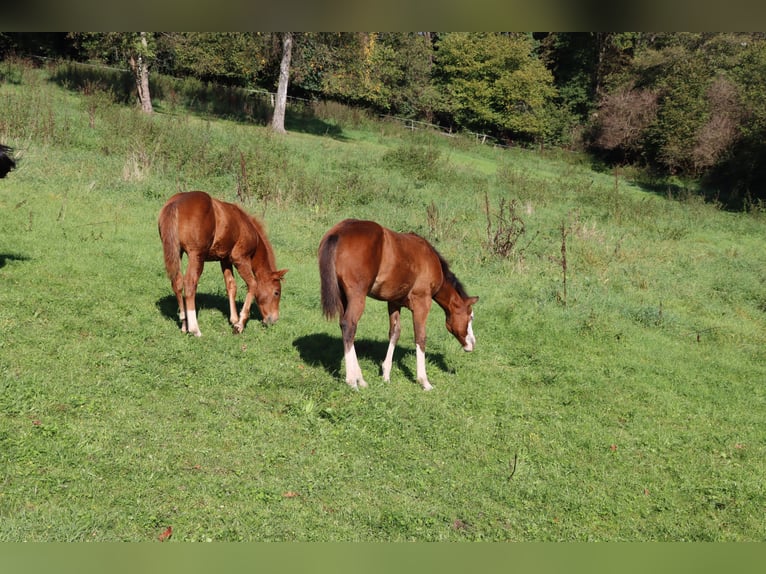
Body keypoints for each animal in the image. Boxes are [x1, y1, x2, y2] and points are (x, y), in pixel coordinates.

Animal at [158, 191, 287, 337]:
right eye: (277, 292)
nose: (274, 319)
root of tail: (176, 202)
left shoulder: (225, 260)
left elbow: (231, 286)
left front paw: (234, 319)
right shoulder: (240, 259)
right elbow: (253, 284)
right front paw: (240, 324)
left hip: (177, 252)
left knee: (177, 283)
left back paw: (184, 324)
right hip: (196, 256)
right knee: (190, 283)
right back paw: (195, 329)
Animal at [318, 219, 478, 391]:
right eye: (471, 317)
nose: (472, 344)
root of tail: (339, 232)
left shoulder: (394, 302)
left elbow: (394, 333)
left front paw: (386, 375)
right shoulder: (422, 302)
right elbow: (420, 336)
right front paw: (424, 381)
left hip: (344, 298)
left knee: (345, 327)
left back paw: (361, 379)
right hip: (357, 296)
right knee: (349, 325)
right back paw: (352, 381)